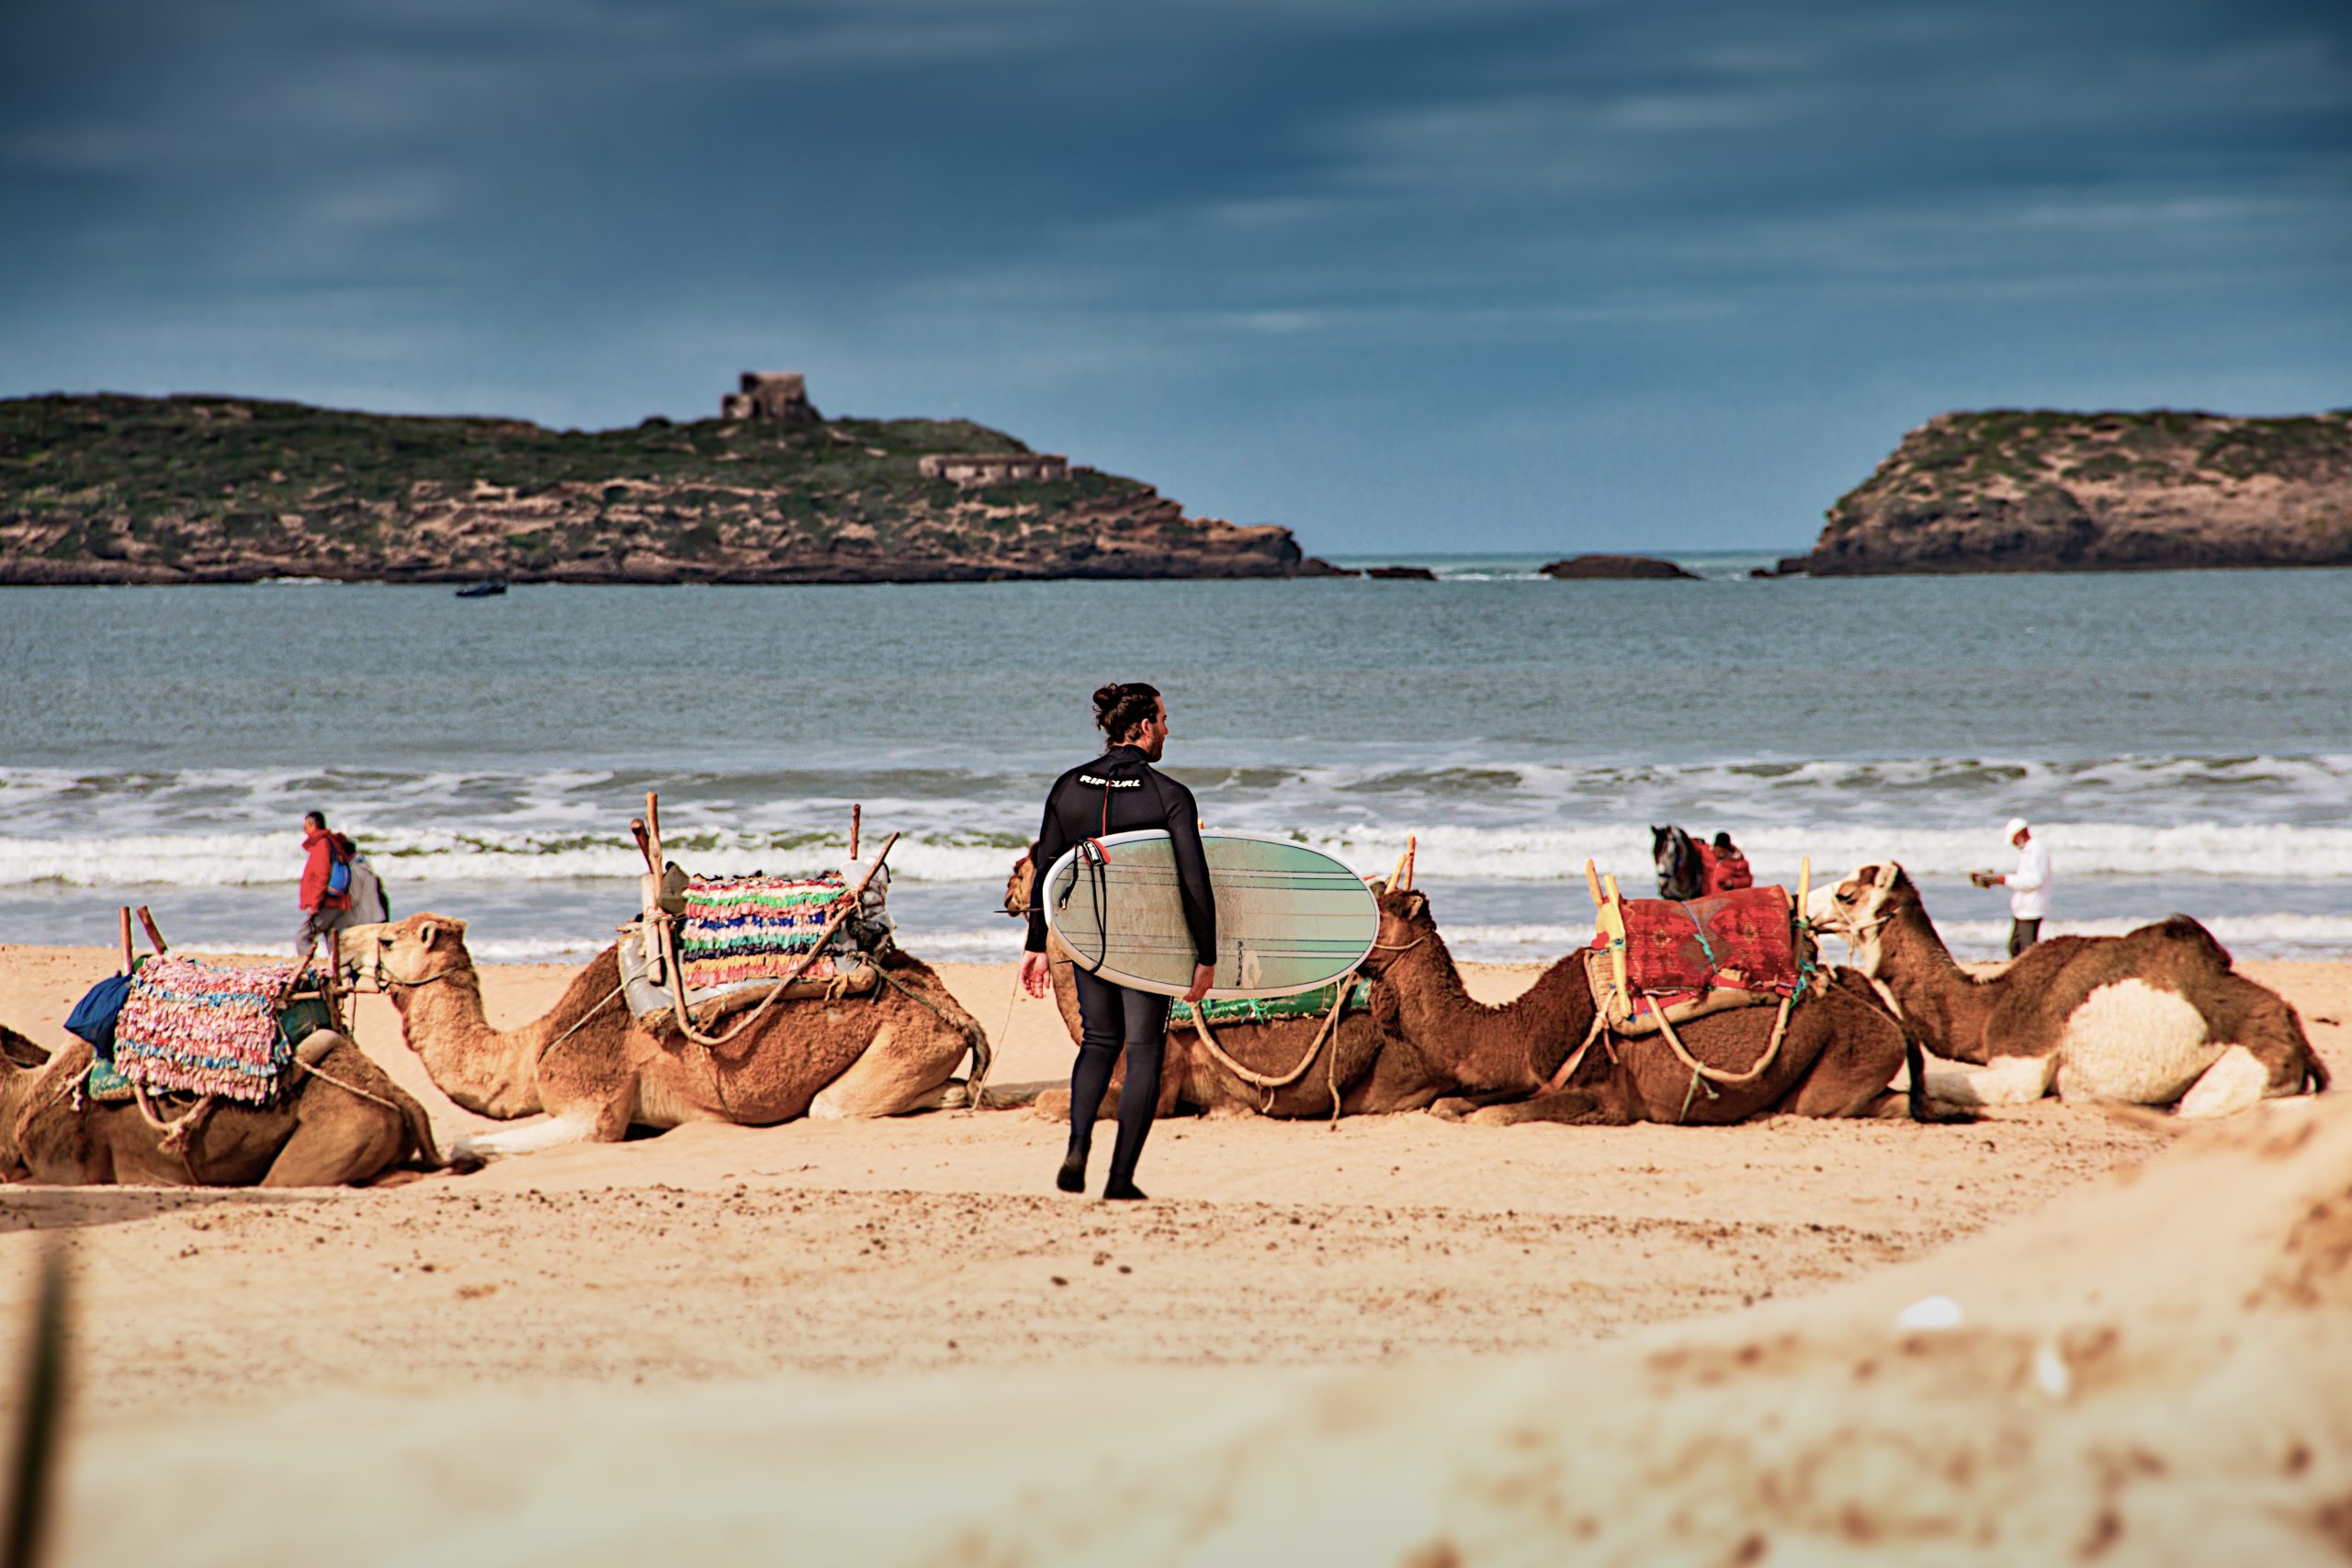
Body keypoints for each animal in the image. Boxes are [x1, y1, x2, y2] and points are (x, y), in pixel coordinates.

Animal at [364, 907, 992, 1166]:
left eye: (389, 941)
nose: (348, 949)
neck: (532, 1049)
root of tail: (953, 1006)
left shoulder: (592, 1105)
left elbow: (471, 1143)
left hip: (905, 1042)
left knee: (836, 1106)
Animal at [1806, 864, 2324, 1123]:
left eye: (1847, 894)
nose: (1805, 909)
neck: (1991, 1005)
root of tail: (2297, 1038)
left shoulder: (2022, 1065)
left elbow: (1934, 1080)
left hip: (2246, 1066)